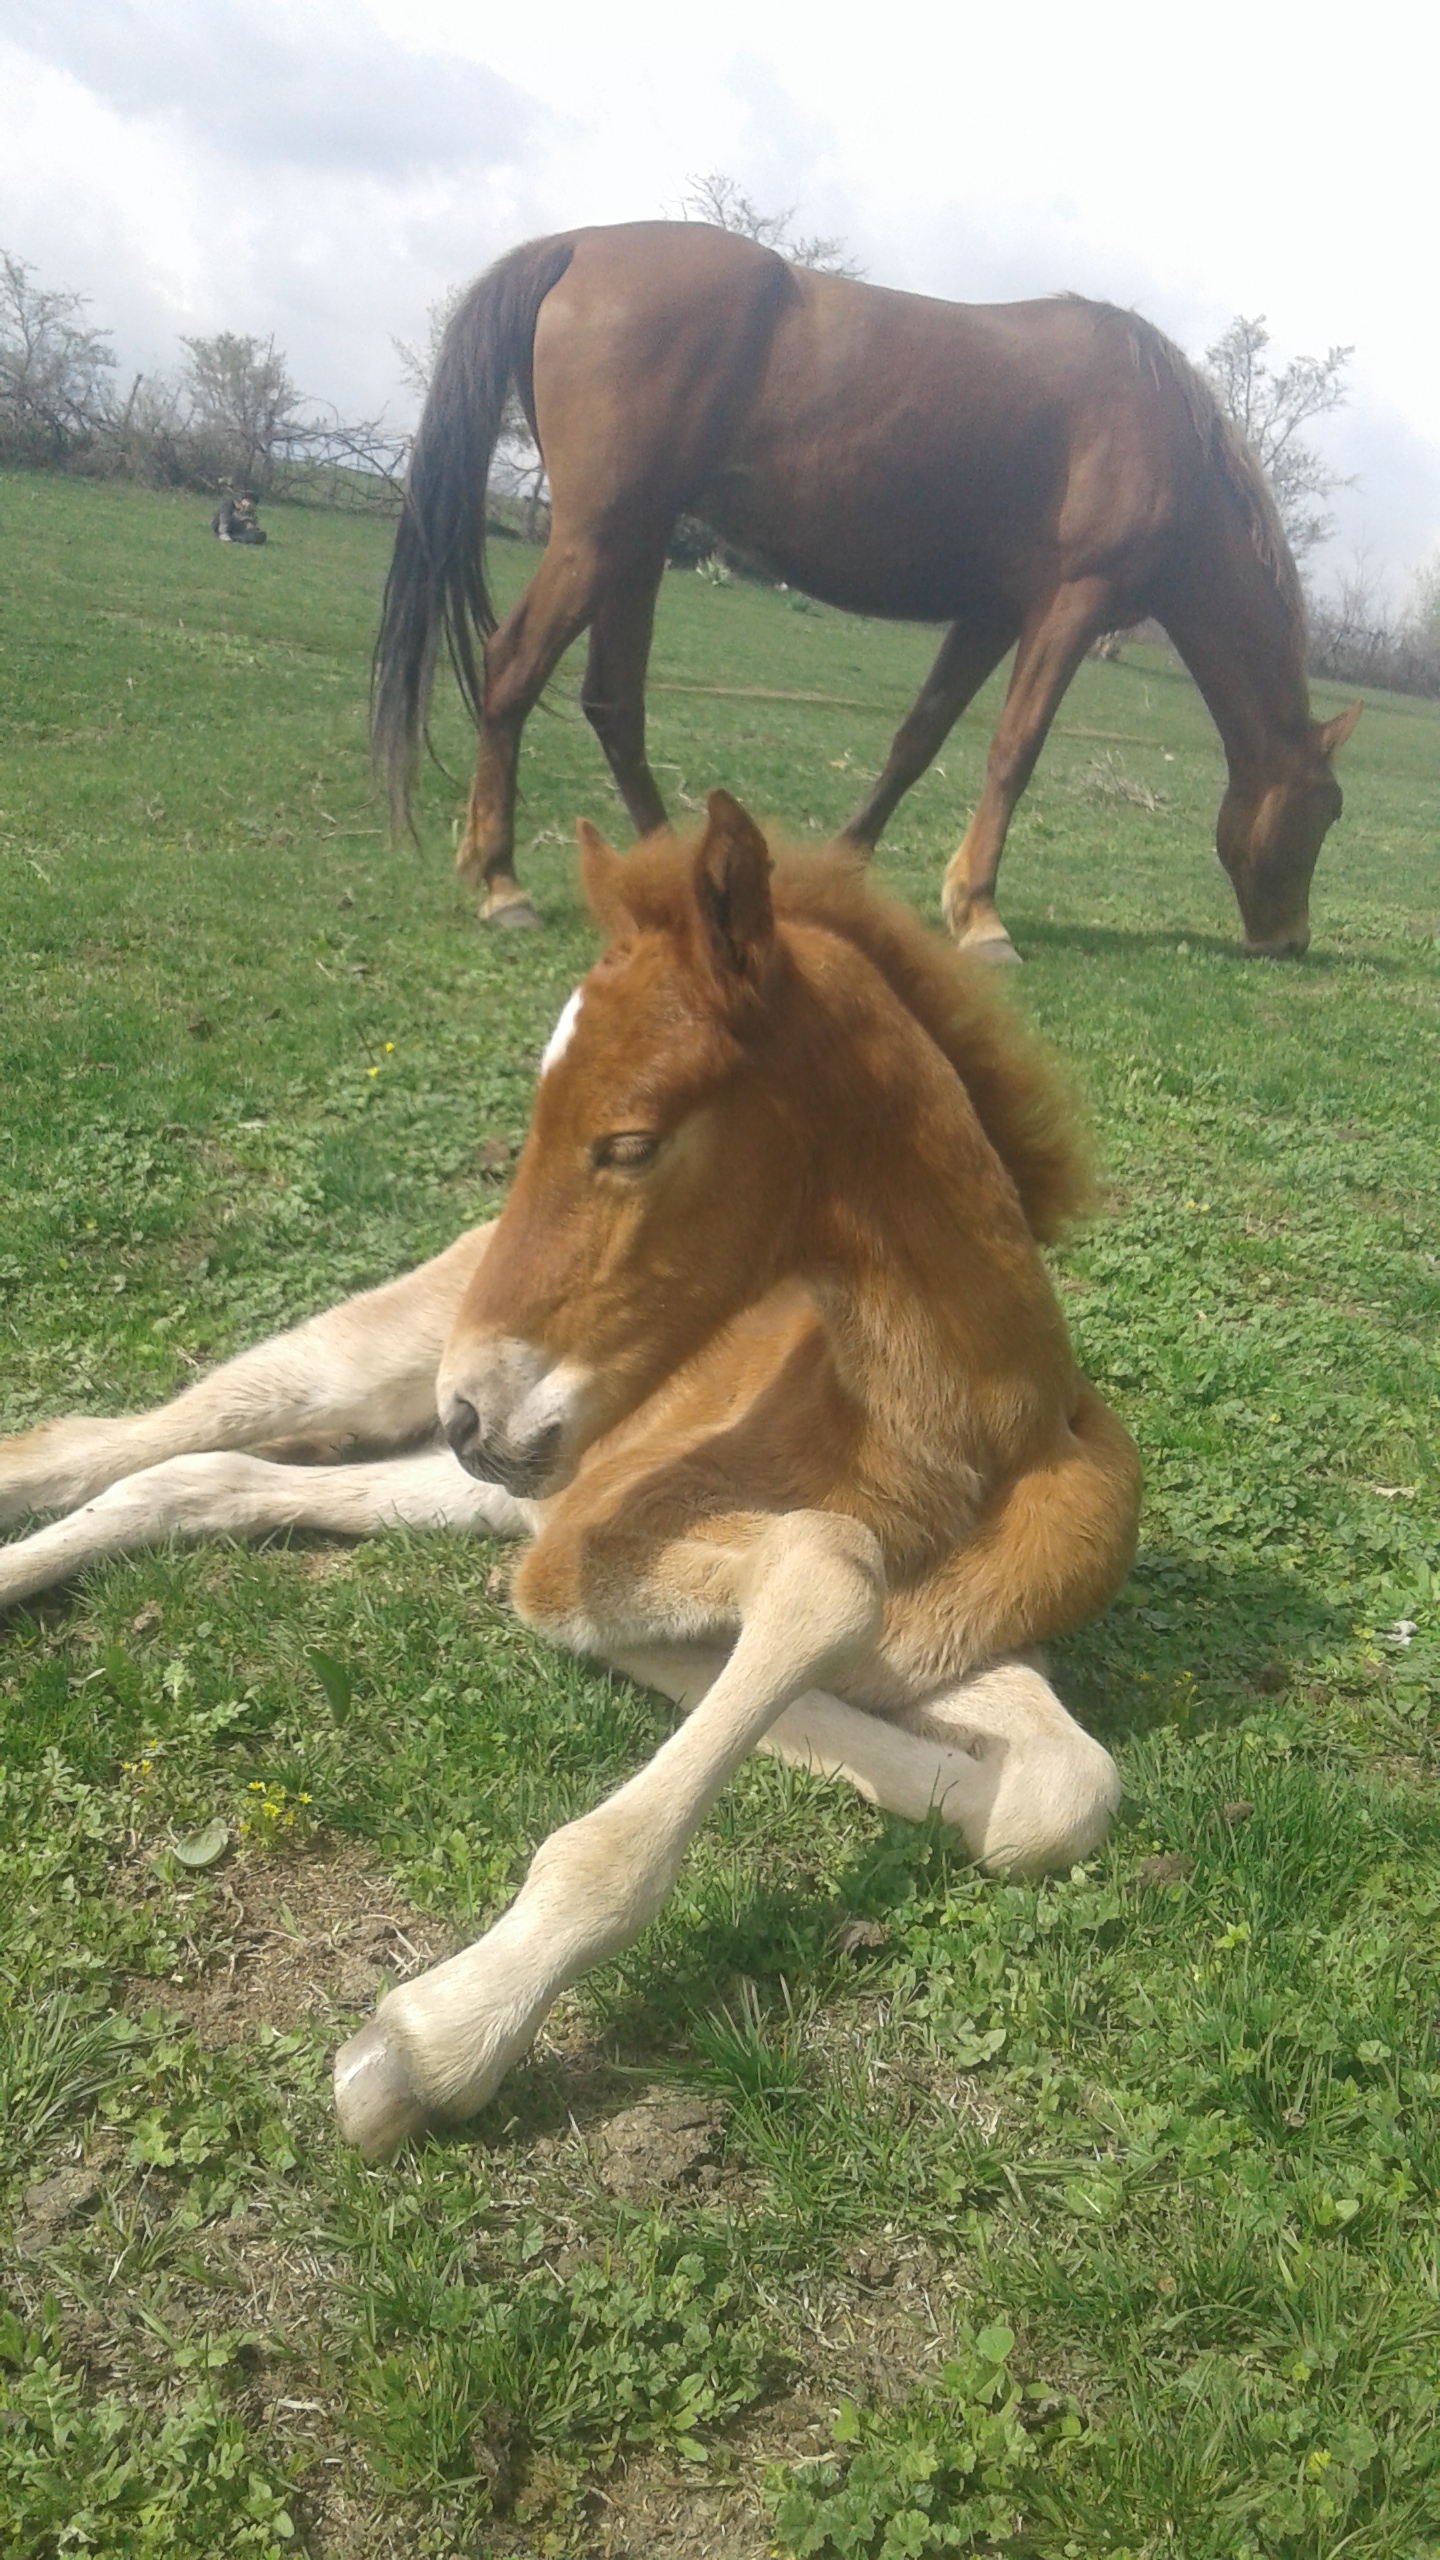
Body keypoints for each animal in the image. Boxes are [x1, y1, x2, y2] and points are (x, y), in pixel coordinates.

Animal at [2, 798, 1142, 2160]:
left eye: (629, 1142)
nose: (474, 1404)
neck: (941, 1440)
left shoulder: (936, 1637)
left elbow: (1061, 1787)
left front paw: (924, 1775)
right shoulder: (586, 1544)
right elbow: (824, 1567)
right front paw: (441, 2032)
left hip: (471, 1484)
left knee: (199, 1481)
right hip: (374, 1371)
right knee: (104, 1445)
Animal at [371, 220, 1352, 957]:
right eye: (1328, 811)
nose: (1290, 941)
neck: (1159, 429)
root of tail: (578, 246)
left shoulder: (992, 612)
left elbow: (918, 740)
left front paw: (848, 869)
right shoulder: (1068, 605)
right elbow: (1015, 749)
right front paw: (980, 914)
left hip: (635, 546)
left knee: (613, 705)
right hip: (598, 539)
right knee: (512, 670)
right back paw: (502, 883)